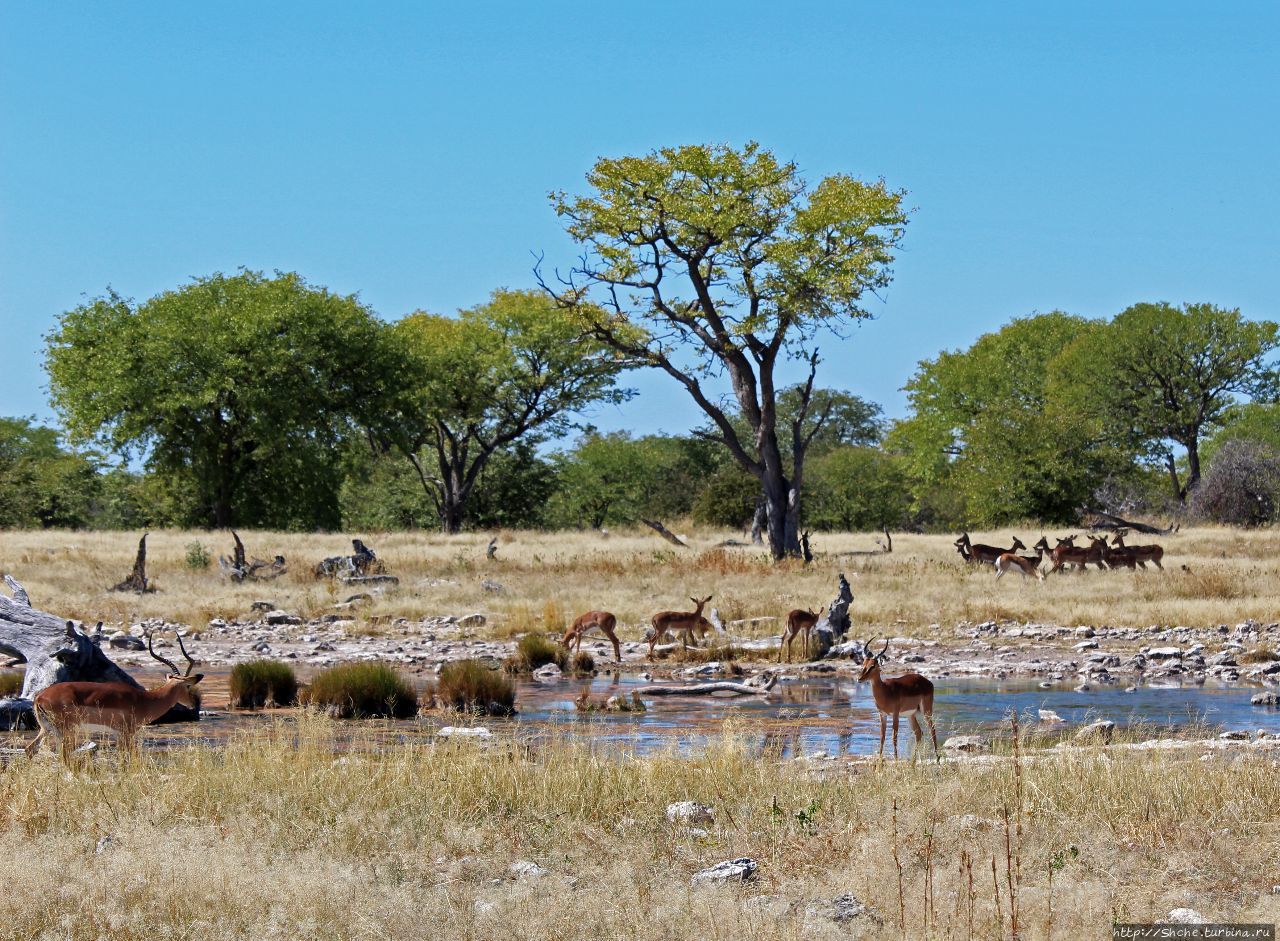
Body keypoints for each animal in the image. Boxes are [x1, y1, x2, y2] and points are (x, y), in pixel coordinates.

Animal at [25, 629, 202, 763]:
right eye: (188, 685)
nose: (193, 703)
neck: (145, 700)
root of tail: (40, 697)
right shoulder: (127, 733)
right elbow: (128, 757)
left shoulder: (119, 734)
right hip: (66, 730)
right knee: (64, 755)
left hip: (47, 729)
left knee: (30, 749)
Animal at [860, 640, 942, 768]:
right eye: (863, 663)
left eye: (873, 665)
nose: (859, 678)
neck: (885, 690)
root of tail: (927, 681)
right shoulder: (882, 714)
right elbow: (882, 737)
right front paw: (879, 763)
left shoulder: (895, 714)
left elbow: (894, 737)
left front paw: (896, 761)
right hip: (911, 715)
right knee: (918, 732)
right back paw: (913, 762)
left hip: (926, 711)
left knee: (932, 729)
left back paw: (938, 760)